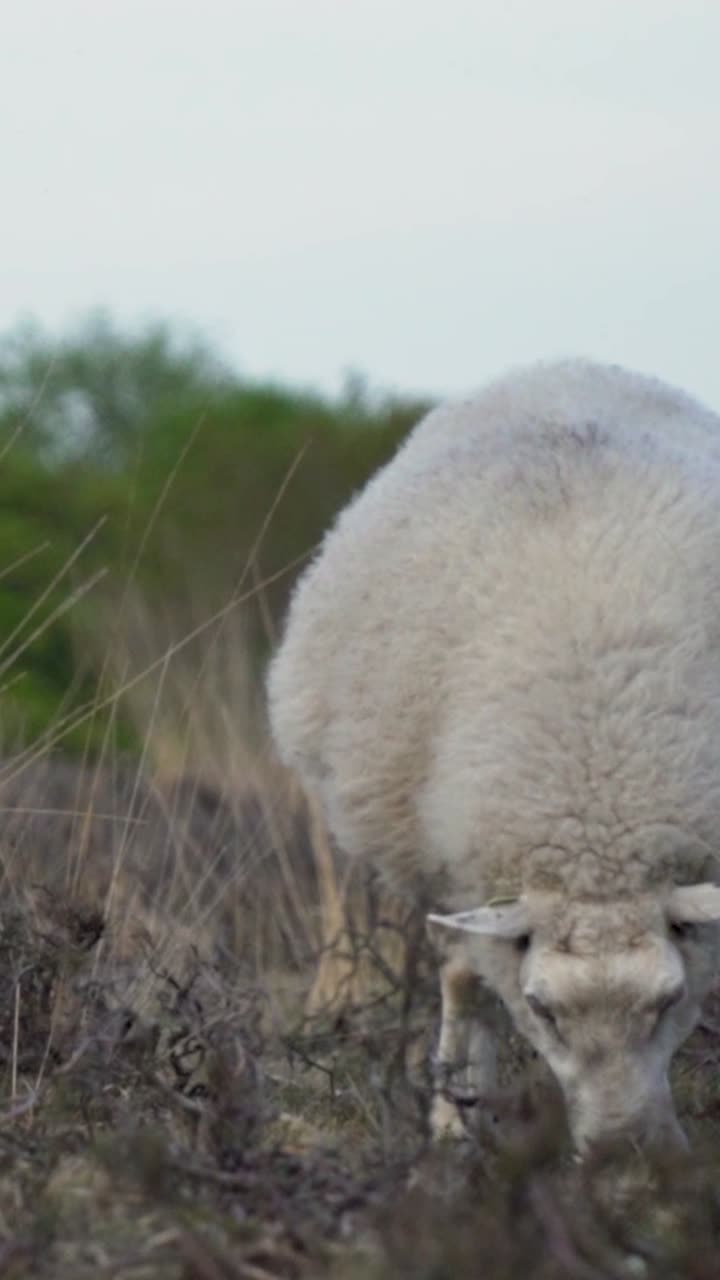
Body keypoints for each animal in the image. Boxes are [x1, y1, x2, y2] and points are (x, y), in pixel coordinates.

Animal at [267, 358, 720, 1154]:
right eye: (540, 1008)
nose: (625, 1153)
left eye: (669, 1000)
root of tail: (564, 364)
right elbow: (463, 983)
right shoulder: (453, 867)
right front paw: (455, 1123)